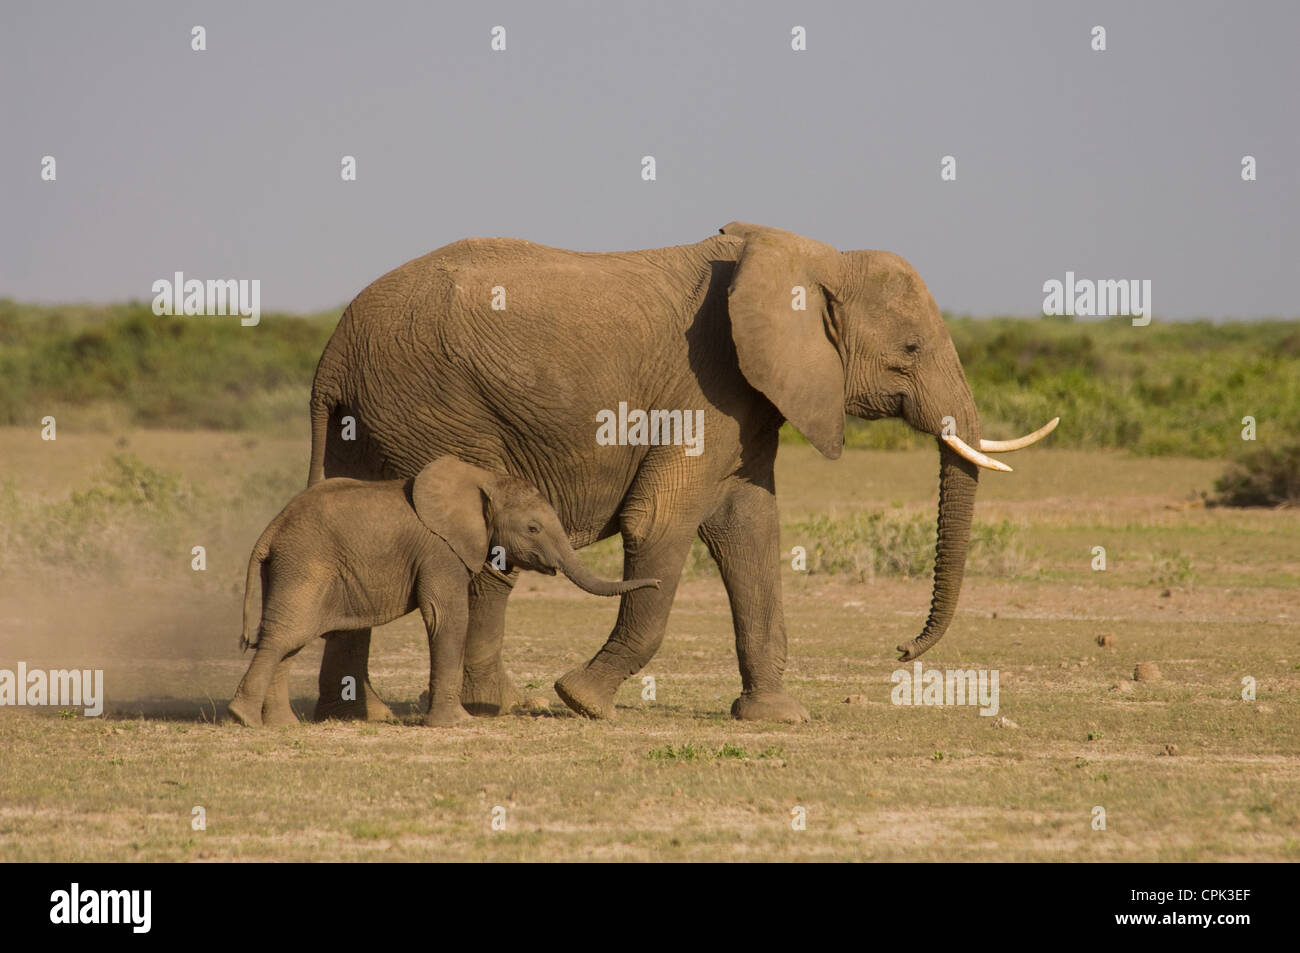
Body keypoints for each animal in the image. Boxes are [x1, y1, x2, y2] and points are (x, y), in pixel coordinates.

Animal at [226, 457, 660, 722]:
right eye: (533, 528)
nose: (655, 582)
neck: (484, 480)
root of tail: (270, 531)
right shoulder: (440, 550)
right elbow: (445, 615)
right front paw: (457, 723)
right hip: (304, 564)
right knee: (285, 635)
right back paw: (243, 718)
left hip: (293, 568)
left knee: (289, 641)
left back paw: (282, 725)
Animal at [276, 223, 1055, 722]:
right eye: (911, 348)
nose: (900, 648)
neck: (815, 260)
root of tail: (332, 353)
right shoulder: (705, 386)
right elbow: (662, 523)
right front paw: (582, 701)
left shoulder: (745, 398)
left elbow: (750, 528)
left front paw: (776, 716)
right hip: (435, 402)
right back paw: (500, 705)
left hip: (371, 416)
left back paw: (361, 713)